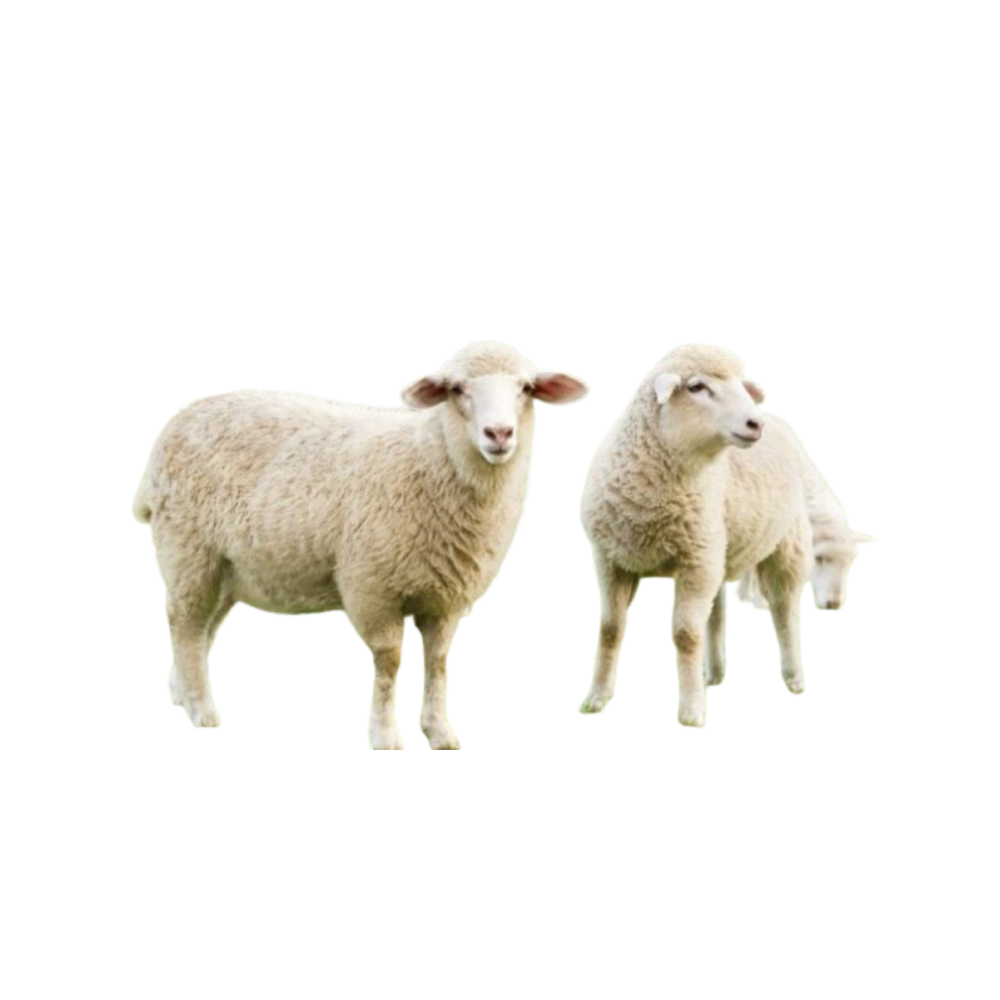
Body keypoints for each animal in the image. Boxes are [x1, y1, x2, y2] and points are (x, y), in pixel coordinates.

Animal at [133, 341, 588, 749]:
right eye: (457, 388)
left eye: (526, 387)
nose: (499, 433)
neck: (431, 461)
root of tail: (171, 427)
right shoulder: (372, 587)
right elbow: (390, 660)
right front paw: (385, 735)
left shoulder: (445, 598)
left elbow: (438, 661)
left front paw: (439, 732)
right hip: (188, 549)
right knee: (185, 622)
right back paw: (200, 708)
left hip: (225, 568)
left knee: (203, 628)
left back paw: (180, 690)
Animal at [579, 344, 812, 727]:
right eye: (697, 387)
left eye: (742, 385)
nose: (755, 423)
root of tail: (778, 419)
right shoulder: (610, 559)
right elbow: (610, 628)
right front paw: (596, 698)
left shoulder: (695, 563)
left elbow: (685, 635)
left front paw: (690, 712)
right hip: (716, 548)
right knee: (717, 613)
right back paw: (711, 675)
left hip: (785, 543)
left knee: (785, 609)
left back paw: (794, 678)